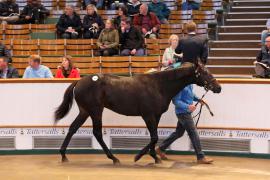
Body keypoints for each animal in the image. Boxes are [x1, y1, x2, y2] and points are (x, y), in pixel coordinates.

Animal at [54, 63, 221, 165]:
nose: (218, 87)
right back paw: (113, 158)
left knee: (72, 128)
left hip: (85, 111)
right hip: (96, 111)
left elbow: (154, 137)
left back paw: (63, 155)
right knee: (97, 133)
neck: (159, 85)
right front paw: (139, 156)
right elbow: (154, 137)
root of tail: (79, 82)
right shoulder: (147, 115)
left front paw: (155, 157)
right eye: (205, 72)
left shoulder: (156, 115)